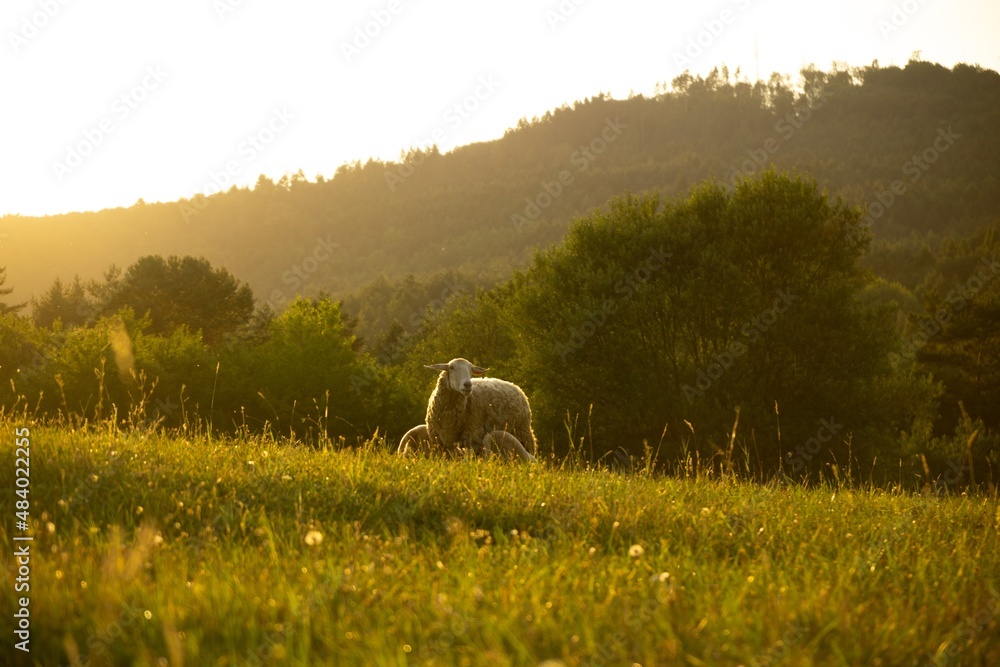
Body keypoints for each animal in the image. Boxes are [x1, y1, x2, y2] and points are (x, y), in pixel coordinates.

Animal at [396, 358, 537, 462]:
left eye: (471, 369)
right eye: (451, 367)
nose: (468, 385)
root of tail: (516, 387)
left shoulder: (470, 436)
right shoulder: (440, 440)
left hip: (522, 432)